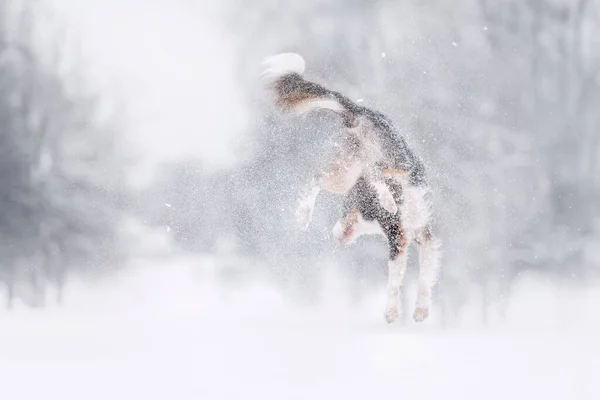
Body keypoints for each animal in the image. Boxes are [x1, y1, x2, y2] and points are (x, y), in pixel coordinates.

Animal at [262, 53, 440, 324]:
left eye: (345, 210)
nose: (334, 234)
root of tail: (361, 111)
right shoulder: (398, 240)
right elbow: (394, 283)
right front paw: (391, 313)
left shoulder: (424, 237)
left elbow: (424, 278)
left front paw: (420, 310)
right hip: (347, 171)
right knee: (316, 179)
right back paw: (305, 212)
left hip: (356, 166)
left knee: (356, 173)